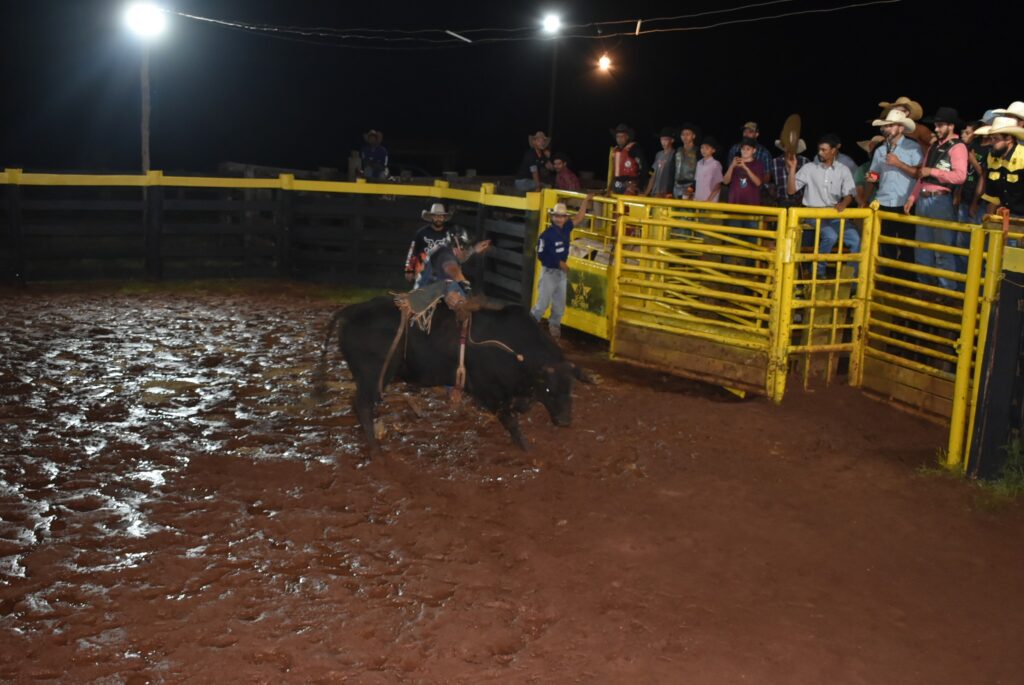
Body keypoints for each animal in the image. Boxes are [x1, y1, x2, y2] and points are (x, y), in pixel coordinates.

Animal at [317, 294, 593, 450]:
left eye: (570, 388)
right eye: (549, 388)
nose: (564, 421)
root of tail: (352, 311)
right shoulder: (489, 389)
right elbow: (509, 419)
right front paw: (526, 448)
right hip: (372, 374)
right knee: (362, 404)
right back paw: (375, 447)